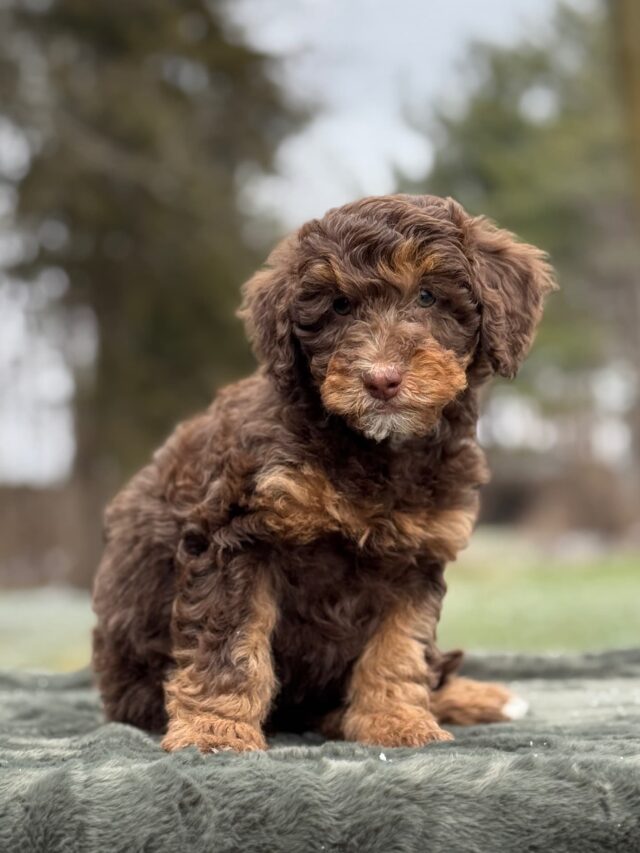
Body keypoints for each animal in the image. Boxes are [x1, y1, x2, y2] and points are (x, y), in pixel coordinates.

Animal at [91, 195, 556, 752]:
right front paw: (216, 730)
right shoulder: (235, 537)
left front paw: (396, 721)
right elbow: (230, 641)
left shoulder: (417, 557)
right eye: (339, 306)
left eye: (427, 296)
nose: (381, 380)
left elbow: (399, 648)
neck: (372, 447)